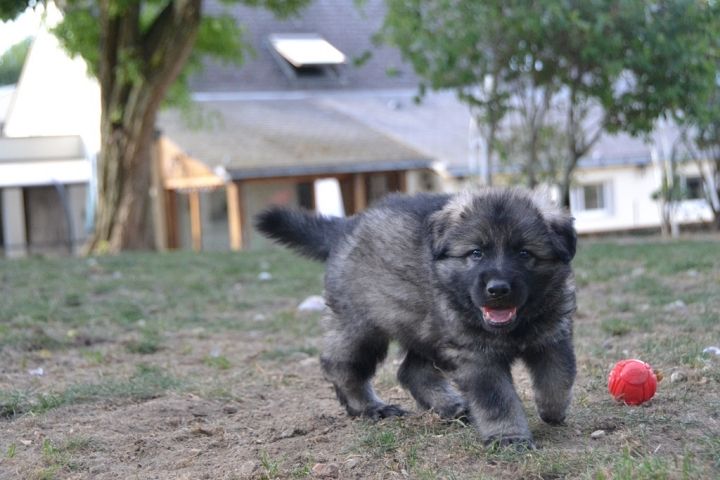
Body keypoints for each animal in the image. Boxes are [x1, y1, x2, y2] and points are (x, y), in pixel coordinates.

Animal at [255, 188, 577, 447]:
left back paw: (452, 406)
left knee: (410, 371)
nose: (497, 289)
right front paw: (509, 437)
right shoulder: (477, 357)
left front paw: (552, 410)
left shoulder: (552, 336)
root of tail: (348, 225)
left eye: (524, 253)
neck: (514, 326)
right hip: (362, 326)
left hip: (426, 328)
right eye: (476, 253)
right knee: (342, 365)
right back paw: (370, 408)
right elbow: (497, 399)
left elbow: (558, 377)